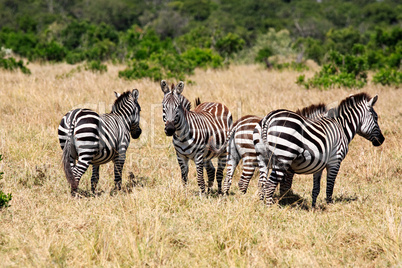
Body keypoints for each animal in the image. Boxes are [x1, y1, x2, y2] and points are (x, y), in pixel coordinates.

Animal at [253, 92, 384, 207]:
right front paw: (330, 206)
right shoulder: (335, 161)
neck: (342, 127)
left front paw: (314, 207)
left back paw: (261, 206)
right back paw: (269, 208)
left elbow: (316, 188)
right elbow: (330, 187)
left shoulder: (319, 165)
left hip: (262, 159)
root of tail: (268, 119)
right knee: (270, 185)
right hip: (283, 158)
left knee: (261, 183)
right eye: (376, 117)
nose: (382, 140)